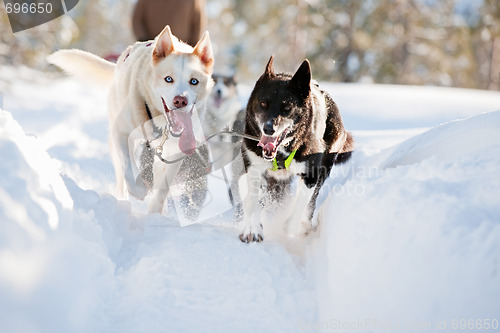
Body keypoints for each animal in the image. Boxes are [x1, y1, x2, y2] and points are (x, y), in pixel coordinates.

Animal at [49, 25, 214, 213]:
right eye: (168, 79)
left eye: (194, 81)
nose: (180, 101)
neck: (160, 123)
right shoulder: (121, 133)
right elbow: (128, 164)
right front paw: (138, 189)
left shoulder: (175, 152)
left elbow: (163, 187)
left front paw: (156, 212)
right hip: (116, 139)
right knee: (121, 173)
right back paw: (123, 199)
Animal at [238, 55, 352, 241]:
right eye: (263, 103)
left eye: (287, 107)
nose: (268, 128)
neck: (281, 153)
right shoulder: (252, 166)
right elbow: (252, 201)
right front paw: (252, 229)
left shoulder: (311, 174)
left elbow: (299, 208)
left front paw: (289, 228)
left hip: (325, 166)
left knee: (311, 202)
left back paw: (303, 225)